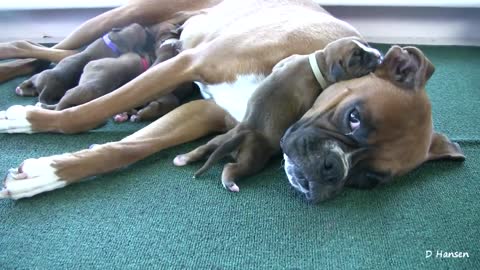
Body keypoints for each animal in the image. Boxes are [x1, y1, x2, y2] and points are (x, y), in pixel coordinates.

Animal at [175, 36, 382, 192]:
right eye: (357, 55)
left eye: (366, 45)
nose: (379, 55)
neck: (318, 61)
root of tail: (245, 129)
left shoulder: (287, 61)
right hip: (252, 158)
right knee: (231, 168)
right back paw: (230, 183)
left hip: (220, 140)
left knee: (203, 149)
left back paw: (183, 158)